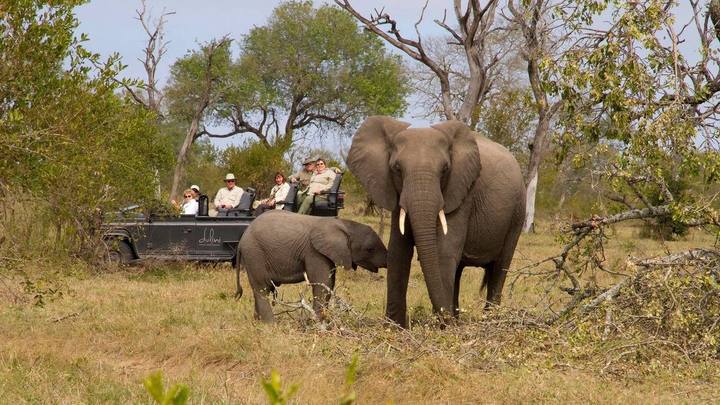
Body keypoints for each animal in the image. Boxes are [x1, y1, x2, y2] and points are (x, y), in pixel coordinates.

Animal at [236, 210, 387, 322]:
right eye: (370, 249)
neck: (343, 224)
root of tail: (242, 239)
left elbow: (329, 283)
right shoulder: (313, 252)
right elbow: (322, 282)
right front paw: (318, 323)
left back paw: (257, 321)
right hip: (254, 253)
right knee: (261, 289)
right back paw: (270, 325)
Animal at [347, 116, 526, 327]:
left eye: (445, 169)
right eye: (397, 168)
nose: (445, 321)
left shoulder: (462, 192)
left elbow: (443, 252)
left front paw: (441, 327)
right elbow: (399, 251)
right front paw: (394, 327)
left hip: (517, 213)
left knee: (500, 267)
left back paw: (487, 320)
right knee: (459, 270)